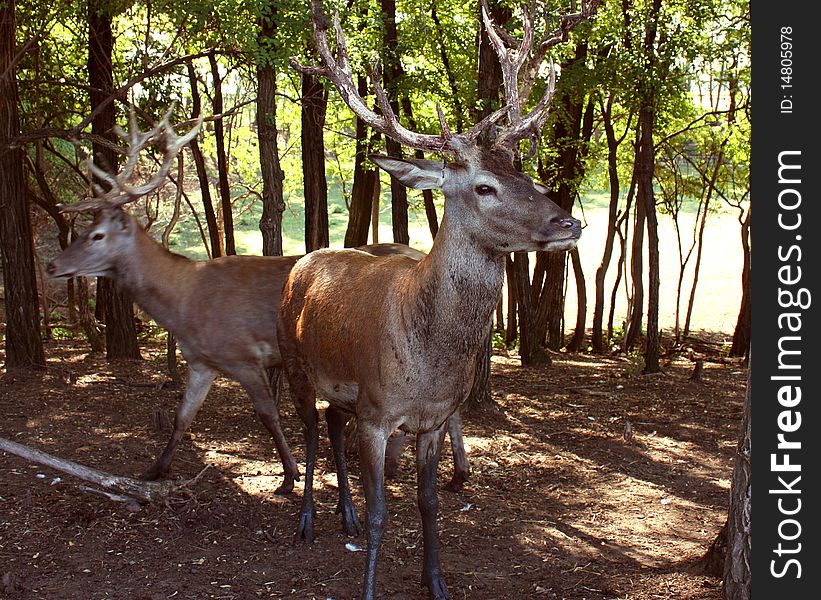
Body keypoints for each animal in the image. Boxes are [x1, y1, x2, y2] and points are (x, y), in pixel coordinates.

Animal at [282, 2, 596, 596]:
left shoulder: (432, 418)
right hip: (294, 365)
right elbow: (383, 513)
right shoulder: (378, 413)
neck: (427, 358)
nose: (569, 223)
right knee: (309, 432)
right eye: (483, 186)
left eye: (527, 175)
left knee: (332, 426)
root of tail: (304, 262)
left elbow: (428, 504)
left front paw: (436, 582)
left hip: (341, 387)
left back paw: (342, 513)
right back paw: (308, 518)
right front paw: (369, 584)